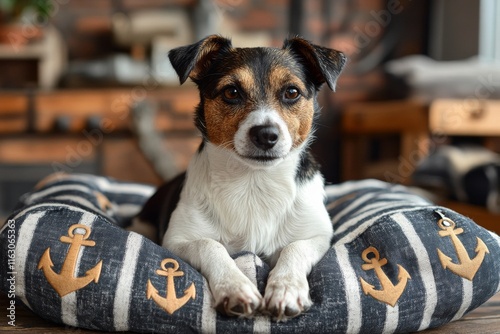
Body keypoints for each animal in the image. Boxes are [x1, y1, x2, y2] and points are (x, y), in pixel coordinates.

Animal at [137, 34, 348, 320]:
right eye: (231, 92)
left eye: (292, 92)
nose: (266, 134)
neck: (254, 181)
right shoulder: (177, 240)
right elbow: (210, 246)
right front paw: (235, 288)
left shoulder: (318, 236)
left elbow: (295, 248)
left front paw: (286, 289)